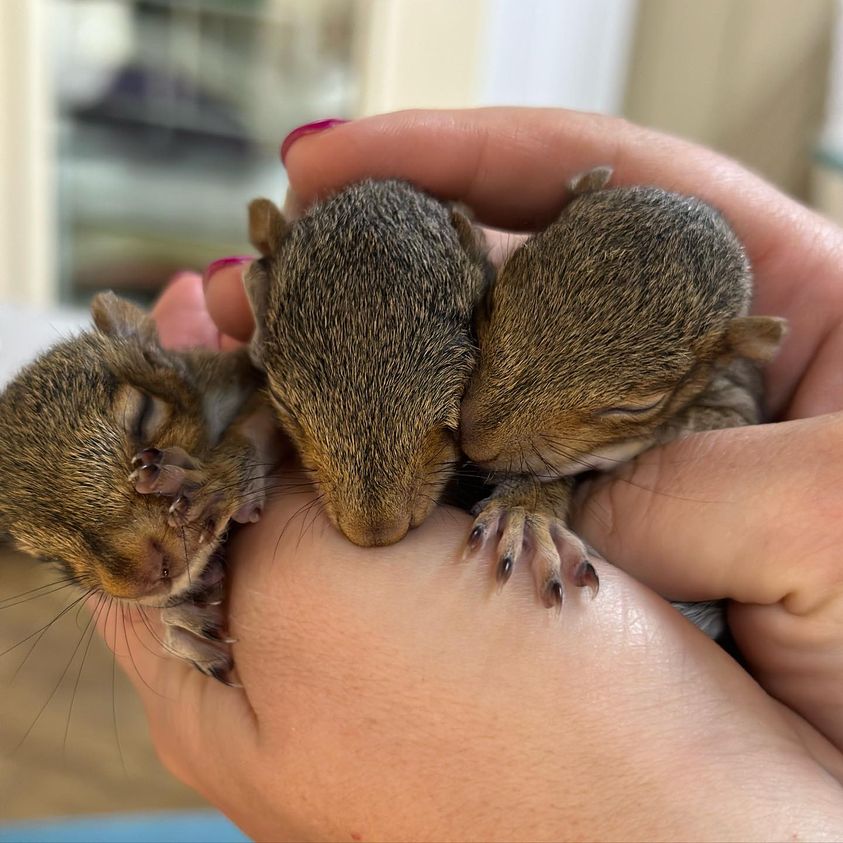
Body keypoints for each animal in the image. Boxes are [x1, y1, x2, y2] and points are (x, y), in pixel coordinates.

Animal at [0, 294, 284, 684]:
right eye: (48, 558)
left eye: (144, 414)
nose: (146, 573)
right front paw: (183, 622)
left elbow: (259, 417)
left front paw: (220, 480)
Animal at [458, 166, 788, 612]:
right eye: (492, 302)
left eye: (641, 405)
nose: (473, 441)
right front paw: (526, 505)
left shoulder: (738, 401)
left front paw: (526, 508)